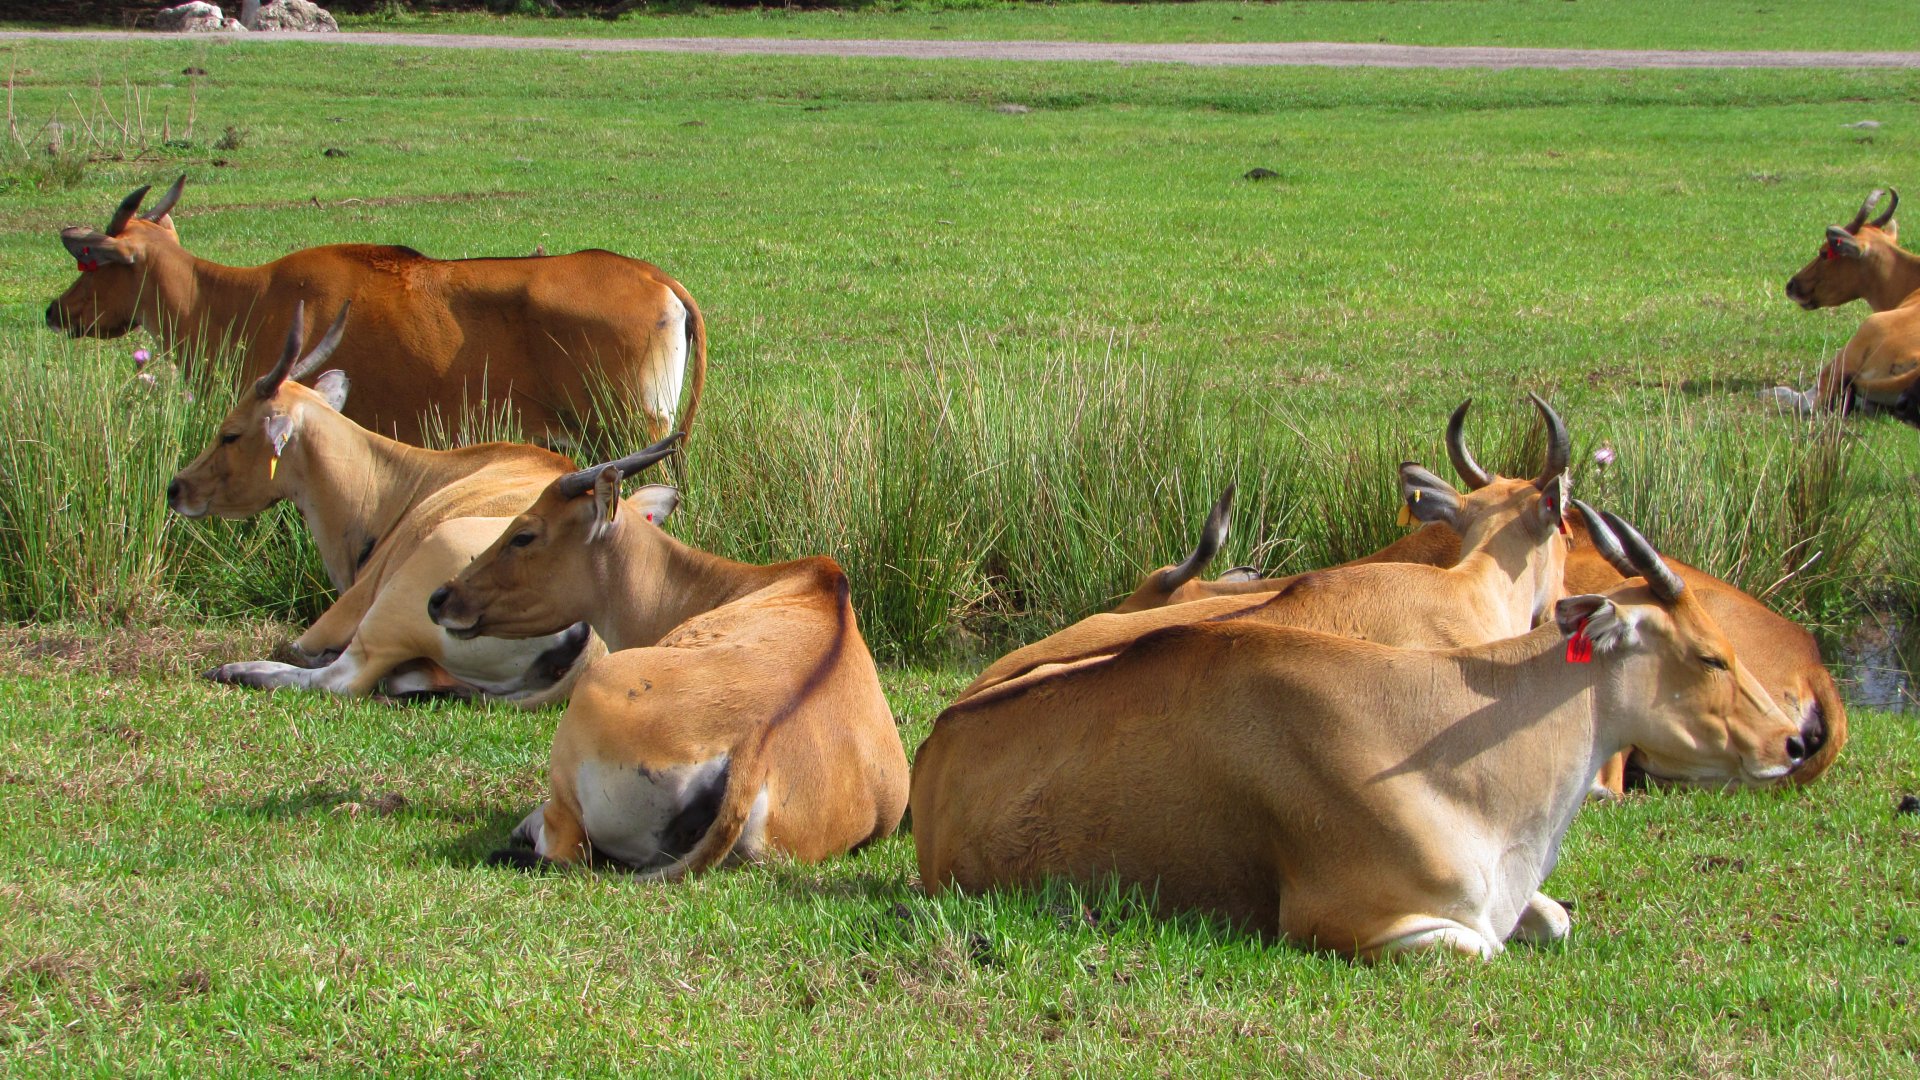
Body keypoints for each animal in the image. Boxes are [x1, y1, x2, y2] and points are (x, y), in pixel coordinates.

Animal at [168, 302, 637, 704]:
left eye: (229, 434)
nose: (177, 488)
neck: (402, 481)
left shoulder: (337, 618)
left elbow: (303, 649)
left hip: (398, 603)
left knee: (341, 679)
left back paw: (240, 669)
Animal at [910, 510, 1811, 960]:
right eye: (1710, 654)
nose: (1792, 742)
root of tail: (939, 738)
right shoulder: (1344, 922)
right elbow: (1482, 949)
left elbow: (1554, 920)